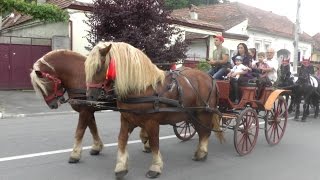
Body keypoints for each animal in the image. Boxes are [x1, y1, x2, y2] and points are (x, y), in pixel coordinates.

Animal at [85, 41, 225, 179]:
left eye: (98, 67)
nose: (89, 96)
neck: (142, 88)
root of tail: (209, 78)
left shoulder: (151, 122)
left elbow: (154, 142)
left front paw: (155, 167)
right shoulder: (127, 119)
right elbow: (122, 140)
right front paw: (121, 167)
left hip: (203, 113)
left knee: (205, 132)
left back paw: (201, 153)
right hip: (192, 114)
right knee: (201, 132)